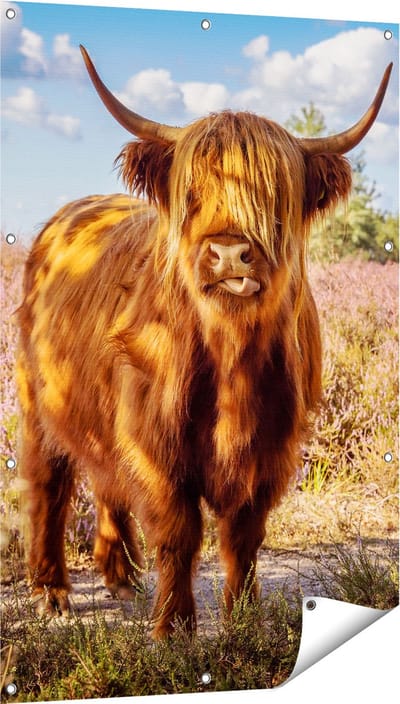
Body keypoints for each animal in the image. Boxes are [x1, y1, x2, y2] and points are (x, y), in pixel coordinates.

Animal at [17, 47, 392, 637]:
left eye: (273, 197)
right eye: (192, 194)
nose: (230, 253)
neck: (230, 359)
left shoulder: (272, 448)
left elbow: (243, 536)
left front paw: (243, 619)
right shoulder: (156, 444)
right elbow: (179, 532)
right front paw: (174, 628)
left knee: (105, 480)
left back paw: (121, 577)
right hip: (38, 403)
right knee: (48, 484)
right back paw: (51, 591)